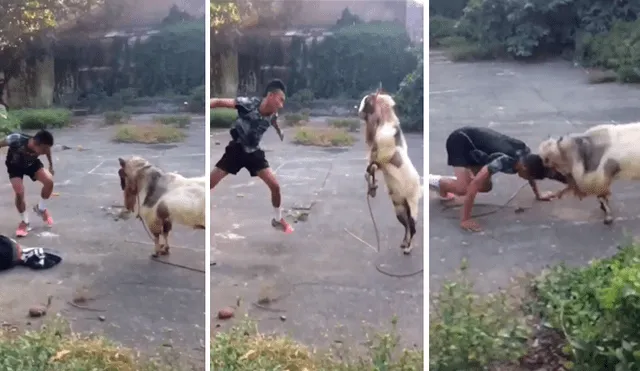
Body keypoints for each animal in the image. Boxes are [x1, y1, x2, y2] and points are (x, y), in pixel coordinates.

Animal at [358, 91, 422, 254]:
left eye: (366, 101)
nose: (358, 111)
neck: (383, 121)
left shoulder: (383, 156)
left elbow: (375, 164)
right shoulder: (376, 160)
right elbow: (370, 169)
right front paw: (372, 185)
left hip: (412, 206)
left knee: (413, 227)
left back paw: (408, 248)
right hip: (399, 208)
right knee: (406, 226)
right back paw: (404, 243)